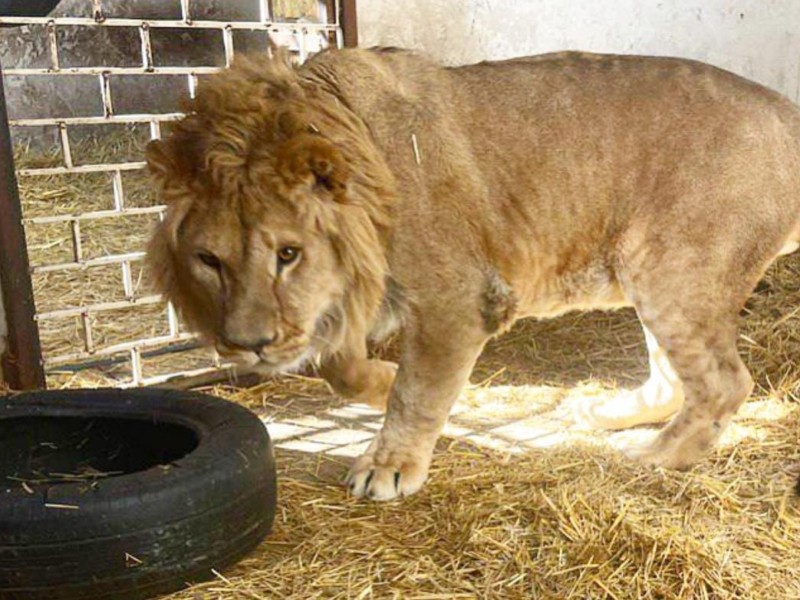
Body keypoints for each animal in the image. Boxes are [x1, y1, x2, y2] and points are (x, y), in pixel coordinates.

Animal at [146, 47, 800, 501]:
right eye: (209, 260)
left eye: (287, 253)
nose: (248, 346)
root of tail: (785, 112)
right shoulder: (347, 302)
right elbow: (342, 369)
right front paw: (381, 379)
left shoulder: (458, 300)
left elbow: (418, 394)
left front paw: (389, 465)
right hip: (653, 275)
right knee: (674, 378)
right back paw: (605, 415)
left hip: (672, 269)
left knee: (722, 382)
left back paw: (653, 457)